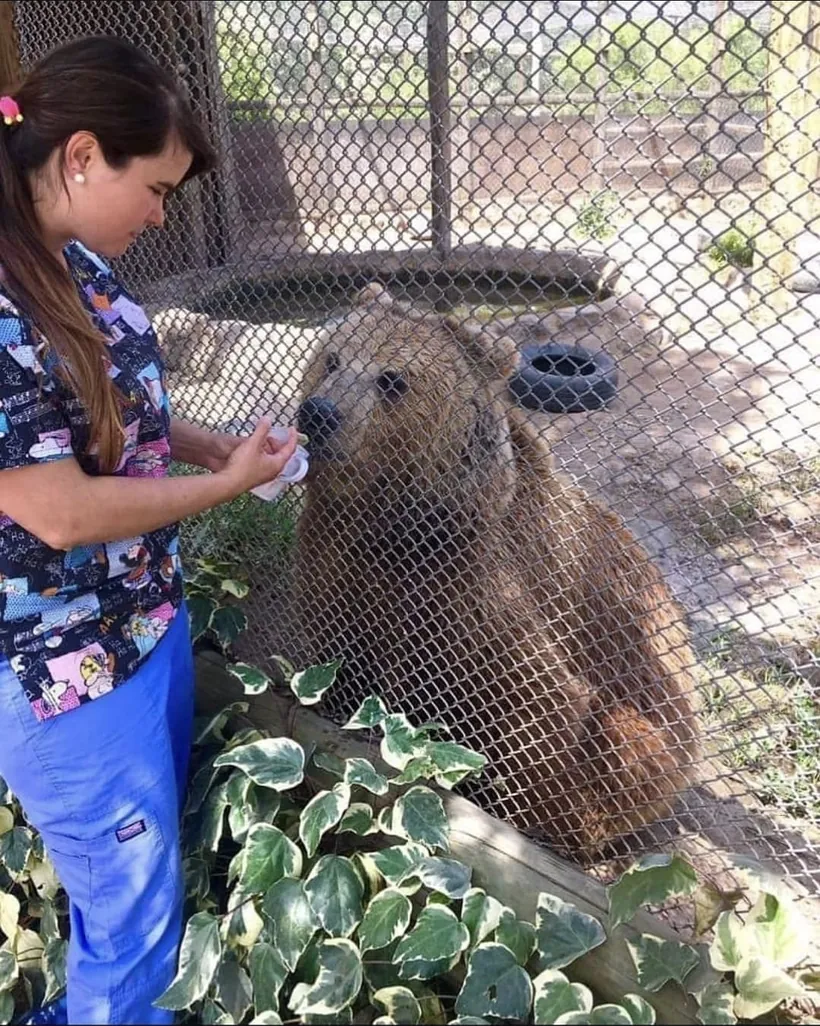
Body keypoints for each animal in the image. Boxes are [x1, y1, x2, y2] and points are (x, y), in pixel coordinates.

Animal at [291, 283, 701, 855]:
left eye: (392, 378)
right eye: (332, 357)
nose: (320, 412)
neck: (396, 521)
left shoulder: (482, 585)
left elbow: (537, 703)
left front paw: (515, 808)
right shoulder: (337, 548)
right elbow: (337, 639)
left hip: (654, 697)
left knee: (624, 744)